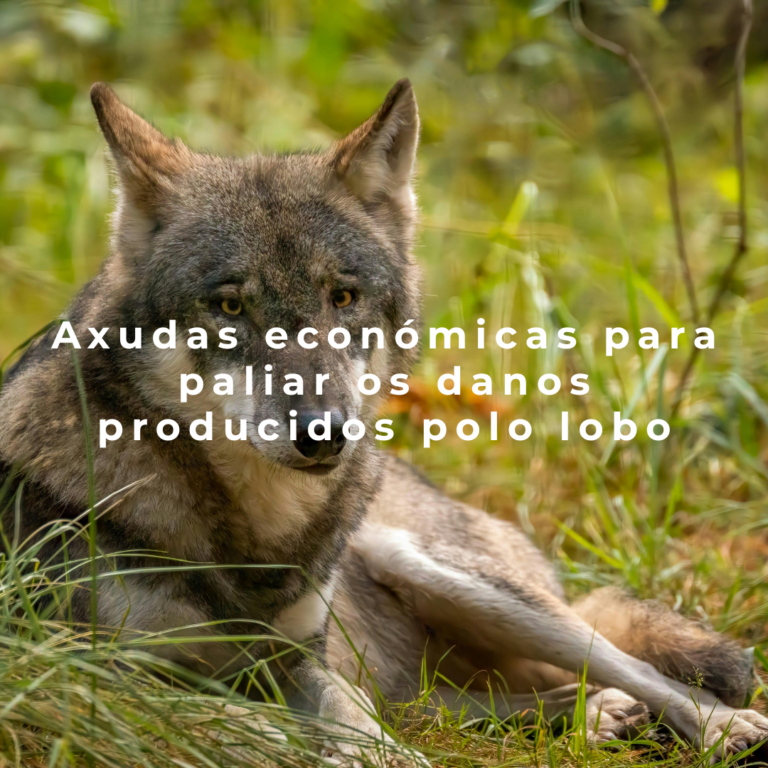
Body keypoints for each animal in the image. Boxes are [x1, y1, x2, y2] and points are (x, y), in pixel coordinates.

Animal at [0, 79, 765, 764]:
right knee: (444, 704)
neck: (254, 531)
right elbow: (243, 722)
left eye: (343, 297)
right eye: (229, 306)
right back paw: (593, 717)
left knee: (625, 665)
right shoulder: (94, 674)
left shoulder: (299, 660)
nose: (325, 434)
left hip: (437, 568)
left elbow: (360, 730)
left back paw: (713, 725)